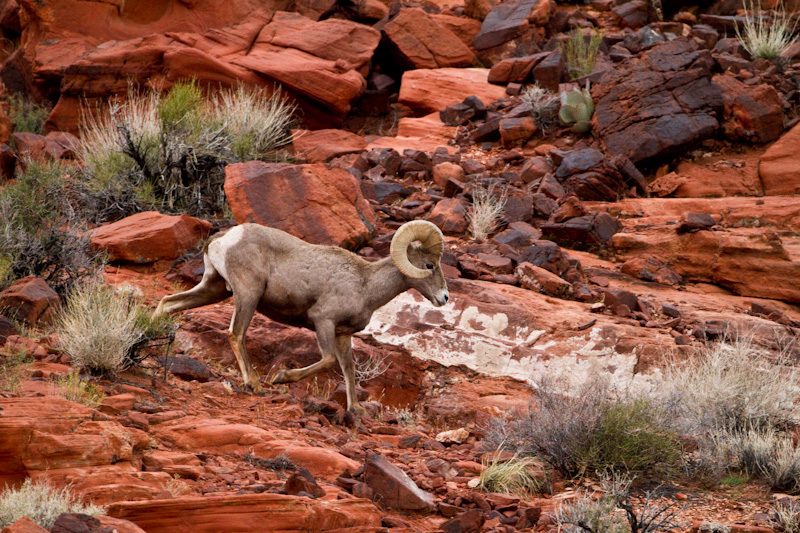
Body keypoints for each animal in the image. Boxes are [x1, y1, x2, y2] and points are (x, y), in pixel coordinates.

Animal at [153, 218, 446, 414]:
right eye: (429, 265)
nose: (444, 298)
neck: (365, 284)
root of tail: (225, 238)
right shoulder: (323, 322)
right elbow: (328, 361)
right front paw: (281, 377)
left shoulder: (343, 334)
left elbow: (349, 368)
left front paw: (356, 411)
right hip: (247, 294)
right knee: (236, 334)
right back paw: (255, 385)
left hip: (213, 289)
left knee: (168, 304)